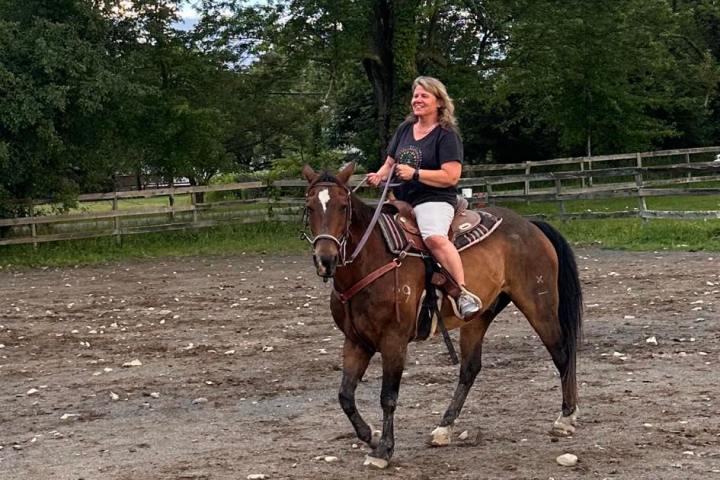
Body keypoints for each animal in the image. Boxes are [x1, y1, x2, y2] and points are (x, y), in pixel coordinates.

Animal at [301, 163, 583, 469]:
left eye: (343, 206)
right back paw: (444, 428)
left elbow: (388, 397)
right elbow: (345, 396)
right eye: (310, 207)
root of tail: (530, 225)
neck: (372, 261)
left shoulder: (393, 341)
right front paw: (372, 436)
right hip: (480, 316)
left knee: (562, 353)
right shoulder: (356, 341)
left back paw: (566, 418)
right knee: (470, 369)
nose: (326, 260)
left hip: (539, 305)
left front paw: (383, 450)